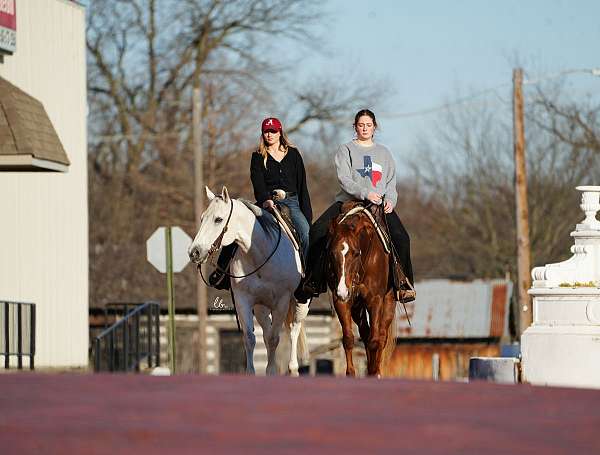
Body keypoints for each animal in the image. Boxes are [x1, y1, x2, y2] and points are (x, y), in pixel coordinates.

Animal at [188, 187, 310, 376]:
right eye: (202, 218)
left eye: (218, 219)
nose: (194, 252)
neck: (260, 254)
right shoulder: (243, 300)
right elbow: (250, 338)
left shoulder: (281, 302)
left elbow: (275, 338)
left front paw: (274, 371)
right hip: (260, 308)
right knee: (267, 333)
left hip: (300, 302)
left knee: (293, 329)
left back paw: (293, 368)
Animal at [326, 203, 396, 378]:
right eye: (332, 253)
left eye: (356, 253)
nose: (342, 291)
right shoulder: (341, 302)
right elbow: (348, 339)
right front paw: (351, 373)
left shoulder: (375, 301)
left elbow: (375, 341)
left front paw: (374, 372)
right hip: (357, 307)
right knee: (365, 333)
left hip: (388, 302)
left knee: (381, 336)